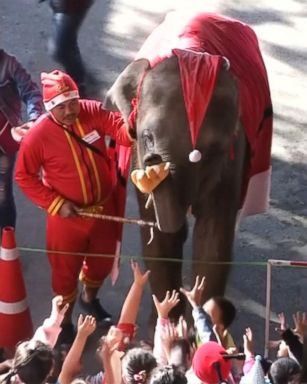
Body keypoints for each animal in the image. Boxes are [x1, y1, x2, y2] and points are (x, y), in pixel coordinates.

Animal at [104, 9, 274, 324]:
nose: (154, 161)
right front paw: (167, 324)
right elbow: (158, 238)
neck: (190, 56)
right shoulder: (135, 153)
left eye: (213, 151)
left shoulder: (233, 157)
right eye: (147, 137)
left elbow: (212, 239)